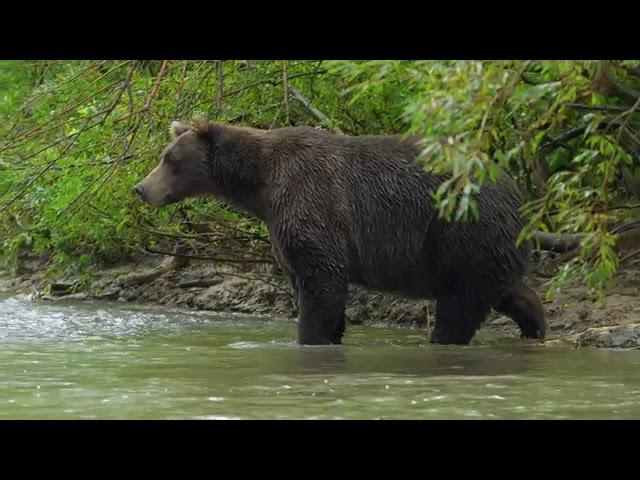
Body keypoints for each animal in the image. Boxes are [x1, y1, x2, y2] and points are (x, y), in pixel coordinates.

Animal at [135, 118, 544, 346]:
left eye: (169, 159)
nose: (141, 188)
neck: (259, 185)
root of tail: (515, 188)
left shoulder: (311, 200)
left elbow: (321, 282)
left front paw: (310, 337)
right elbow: (308, 280)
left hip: (460, 229)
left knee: (460, 303)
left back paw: (444, 339)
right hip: (484, 242)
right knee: (506, 290)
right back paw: (536, 327)